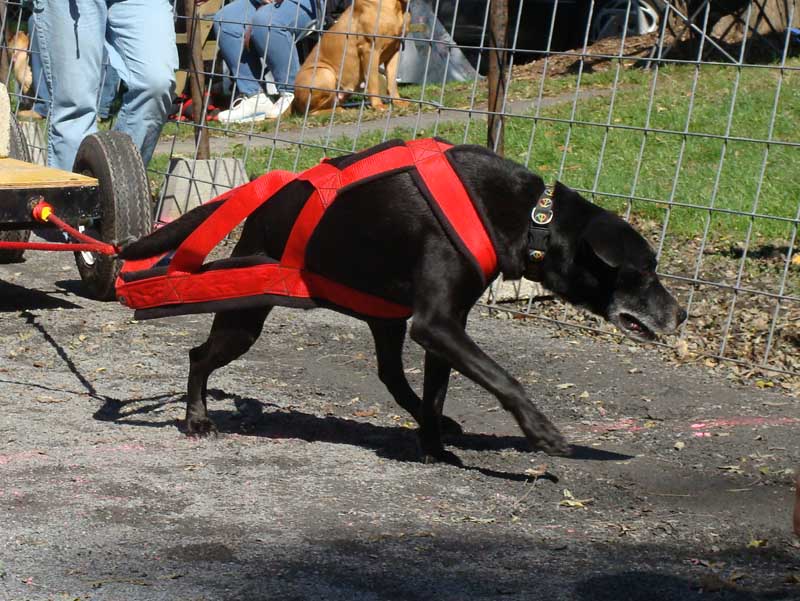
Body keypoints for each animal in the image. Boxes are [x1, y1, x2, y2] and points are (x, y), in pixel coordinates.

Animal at [122, 143, 684, 462]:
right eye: (643, 271)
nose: (680, 314)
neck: (531, 219)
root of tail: (271, 196)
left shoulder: (445, 327)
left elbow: (436, 394)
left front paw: (435, 447)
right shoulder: (436, 325)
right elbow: (505, 378)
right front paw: (542, 432)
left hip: (384, 318)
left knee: (391, 376)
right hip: (248, 310)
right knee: (199, 355)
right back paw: (196, 419)